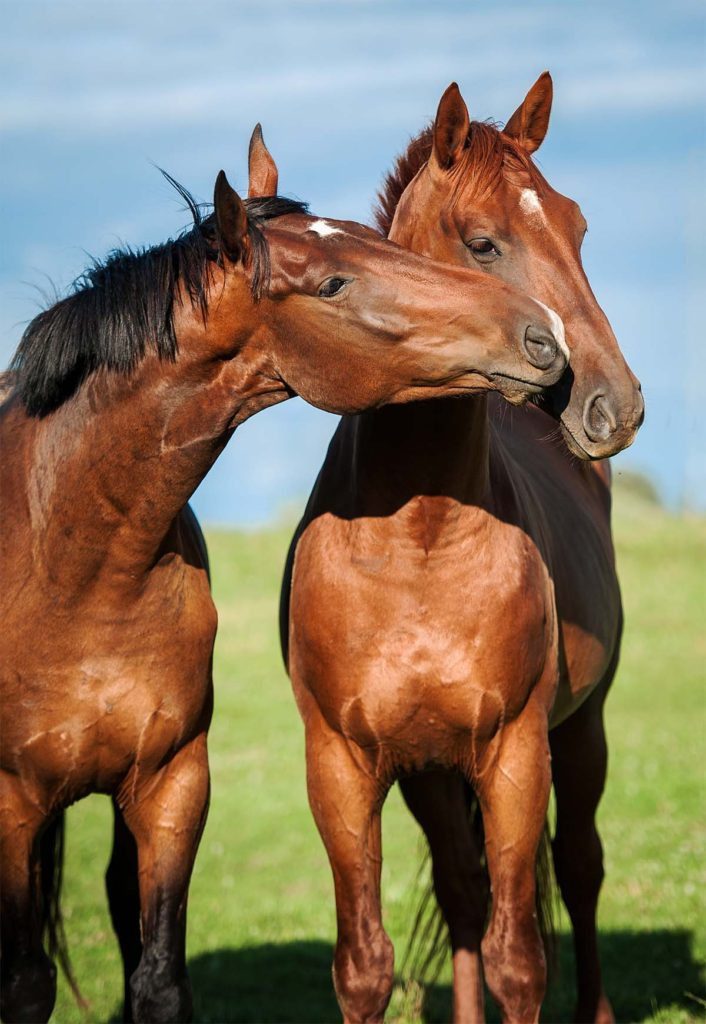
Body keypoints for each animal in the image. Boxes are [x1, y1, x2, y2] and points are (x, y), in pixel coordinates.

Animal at [0, 124, 569, 1024]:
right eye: (334, 282)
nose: (543, 336)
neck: (70, 562)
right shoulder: (11, 806)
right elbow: (24, 984)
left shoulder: (172, 785)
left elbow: (157, 977)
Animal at [280, 74, 644, 1024]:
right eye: (484, 243)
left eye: (578, 226)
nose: (614, 404)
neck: (417, 541)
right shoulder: (345, 766)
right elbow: (366, 964)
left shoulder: (515, 753)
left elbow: (521, 958)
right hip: (433, 776)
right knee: (462, 889)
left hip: (580, 731)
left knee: (580, 869)